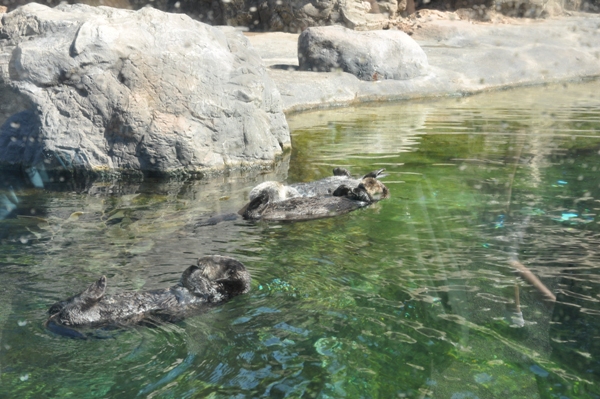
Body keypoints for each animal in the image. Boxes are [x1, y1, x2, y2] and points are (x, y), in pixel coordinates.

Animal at [45, 256, 251, 338]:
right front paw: (193, 267)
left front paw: (195, 269)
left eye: (214, 261)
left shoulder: (215, 293)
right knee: (63, 304)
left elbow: (199, 284)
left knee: (77, 307)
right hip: (67, 308)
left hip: (84, 315)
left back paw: (100, 284)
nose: (200, 260)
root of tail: (57, 317)